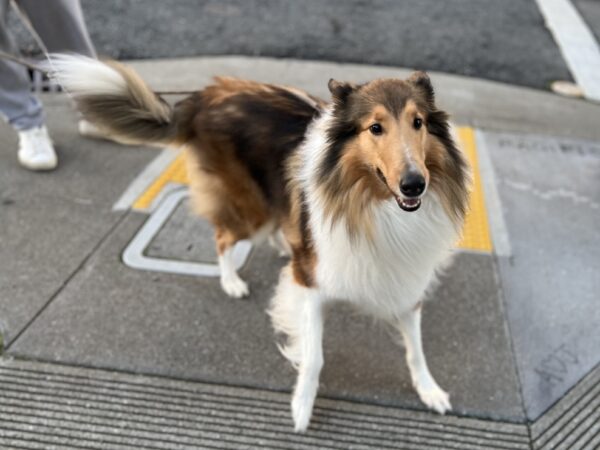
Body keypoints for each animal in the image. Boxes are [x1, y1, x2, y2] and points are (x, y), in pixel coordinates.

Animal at [50, 54, 468, 430]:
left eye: (418, 122)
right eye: (375, 128)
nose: (414, 184)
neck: (371, 202)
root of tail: (205, 94)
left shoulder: (406, 279)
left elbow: (416, 349)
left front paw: (430, 390)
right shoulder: (310, 281)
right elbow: (314, 356)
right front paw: (302, 409)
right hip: (249, 208)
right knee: (222, 237)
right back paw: (232, 281)